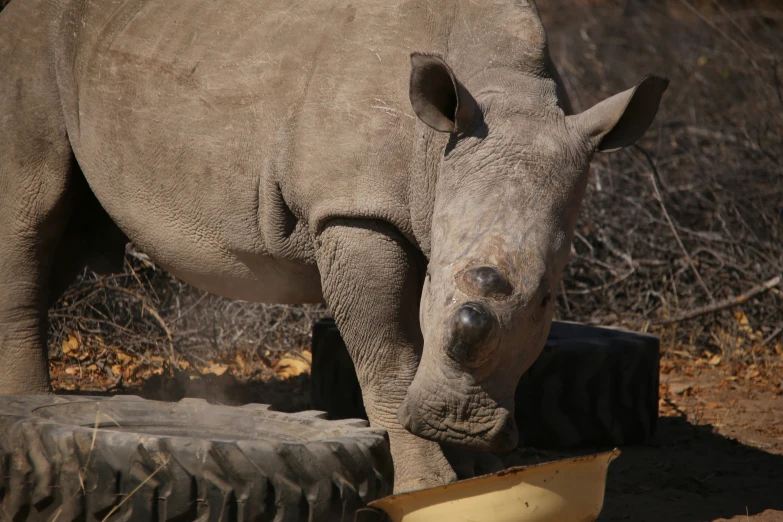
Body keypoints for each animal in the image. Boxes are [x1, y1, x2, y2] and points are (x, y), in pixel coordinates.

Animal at [0, 0, 668, 492]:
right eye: (434, 280)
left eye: (550, 300)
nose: (461, 421)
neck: (503, 90)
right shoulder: (353, 208)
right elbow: (389, 354)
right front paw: (428, 485)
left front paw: (476, 472)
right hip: (31, 45)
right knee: (33, 215)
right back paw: (30, 407)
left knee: (65, 240)